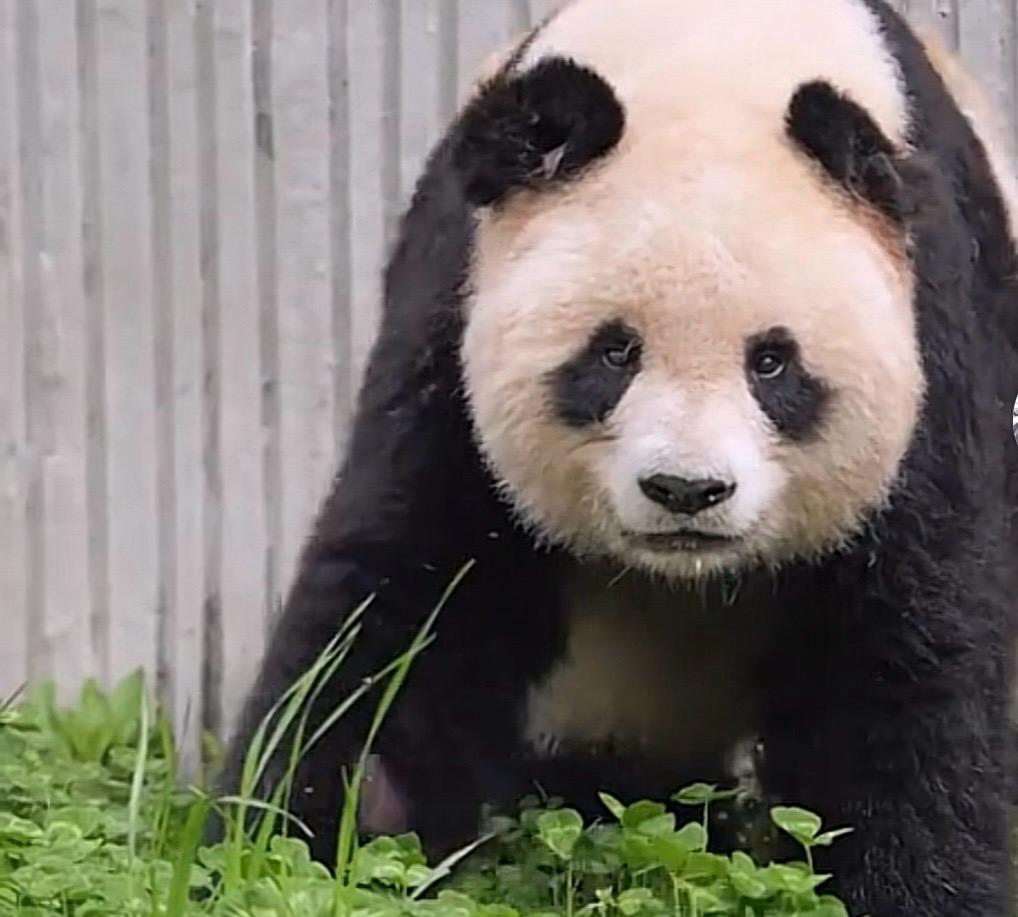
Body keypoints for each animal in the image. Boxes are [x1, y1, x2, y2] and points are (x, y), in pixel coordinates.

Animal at [220, 1, 1018, 913]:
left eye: (772, 362)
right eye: (614, 352)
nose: (686, 489)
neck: (716, 50)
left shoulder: (940, 325)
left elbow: (904, 647)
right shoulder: (450, 315)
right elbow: (405, 600)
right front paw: (300, 851)